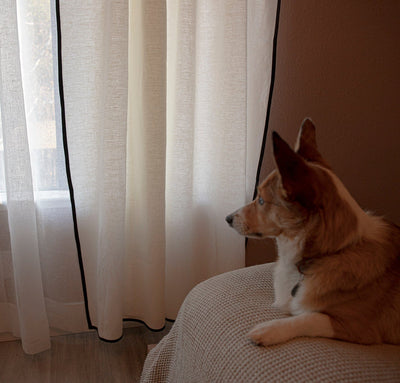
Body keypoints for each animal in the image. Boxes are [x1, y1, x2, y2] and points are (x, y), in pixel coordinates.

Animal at [225, 120, 400, 348]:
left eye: (261, 200)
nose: (227, 218)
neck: (332, 252)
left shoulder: (357, 327)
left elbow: (310, 317)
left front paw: (269, 329)